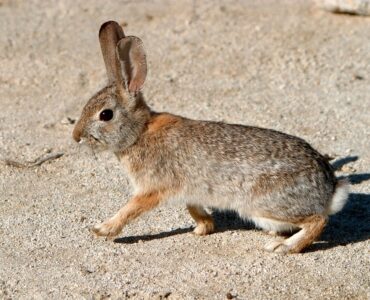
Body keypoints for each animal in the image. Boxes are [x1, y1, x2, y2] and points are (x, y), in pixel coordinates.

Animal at [72, 20, 350, 253]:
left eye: (105, 115)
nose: (76, 136)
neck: (139, 133)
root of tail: (330, 190)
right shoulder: (189, 191)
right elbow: (194, 208)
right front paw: (202, 228)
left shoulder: (151, 189)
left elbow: (130, 209)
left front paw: (102, 229)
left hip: (265, 205)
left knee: (317, 220)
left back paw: (284, 247)